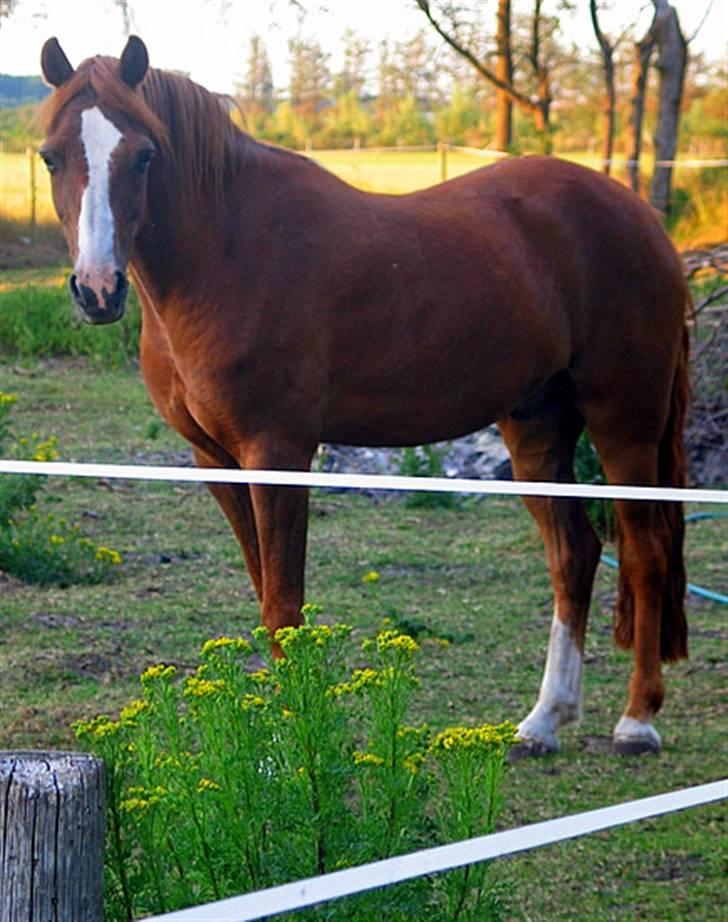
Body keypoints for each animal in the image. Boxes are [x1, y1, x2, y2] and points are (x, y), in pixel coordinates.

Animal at [38, 36, 688, 756]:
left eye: (144, 155)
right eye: (51, 155)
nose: (98, 290)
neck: (226, 252)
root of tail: (640, 216)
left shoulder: (279, 452)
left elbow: (283, 603)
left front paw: (298, 736)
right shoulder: (217, 461)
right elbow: (265, 590)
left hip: (624, 422)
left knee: (646, 553)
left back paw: (638, 720)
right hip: (538, 430)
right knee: (575, 555)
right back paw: (545, 720)